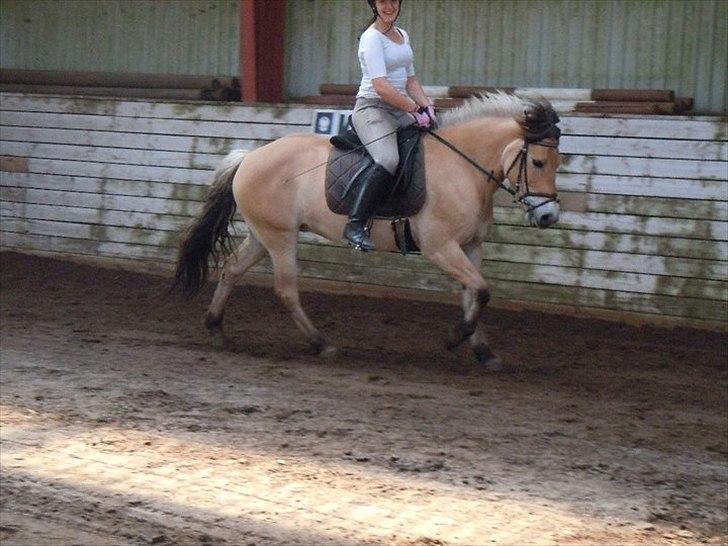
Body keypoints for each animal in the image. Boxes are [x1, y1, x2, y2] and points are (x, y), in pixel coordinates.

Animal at [172, 92, 564, 366]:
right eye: (538, 162)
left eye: (557, 163)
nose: (549, 217)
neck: (462, 167)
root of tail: (249, 157)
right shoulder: (440, 247)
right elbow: (480, 291)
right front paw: (454, 338)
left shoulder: (471, 246)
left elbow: (474, 295)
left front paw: (483, 351)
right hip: (280, 238)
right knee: (285, 290)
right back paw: (322, 344)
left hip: (262, 234)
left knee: (231, 270)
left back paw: (216, 329)